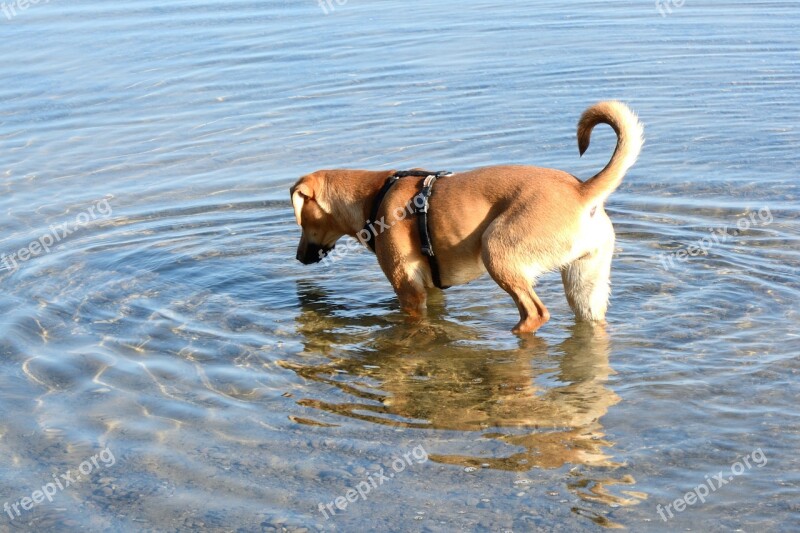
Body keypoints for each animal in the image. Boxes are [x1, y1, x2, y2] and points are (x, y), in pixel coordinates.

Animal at [290, 100, 648, 332]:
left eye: (303, 222)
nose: (297, 257)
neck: (376, 196)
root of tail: (582, 190)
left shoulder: (408, 291)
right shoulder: (432, 291)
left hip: (498, 252)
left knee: (535, 314)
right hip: (585, 286)